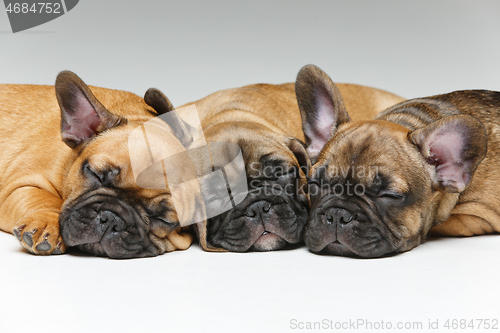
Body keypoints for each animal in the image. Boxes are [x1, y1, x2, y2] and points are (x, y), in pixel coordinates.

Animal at [0, 71, 193, 258]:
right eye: (95, 174)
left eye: (163, 219)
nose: (112, 219)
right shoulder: (19, 186)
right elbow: (43, 199)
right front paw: (47, 223)